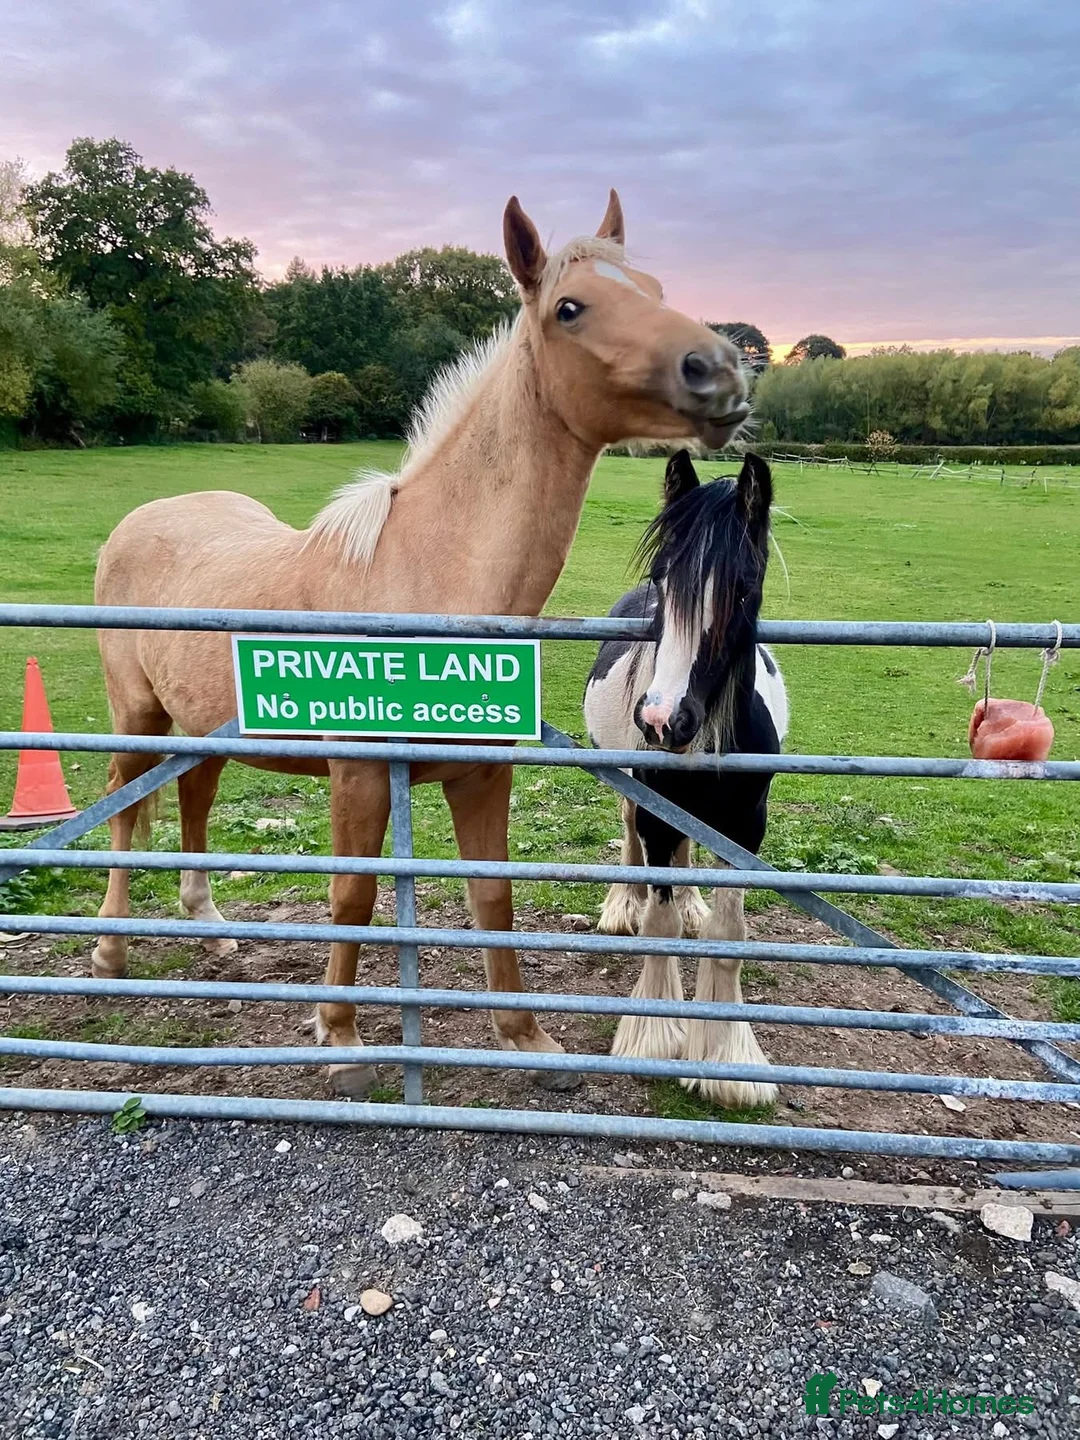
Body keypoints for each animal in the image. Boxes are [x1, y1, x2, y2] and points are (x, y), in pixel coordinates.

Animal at [90, 190, 753, 1099]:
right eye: (569, 308)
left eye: (652, 287)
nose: (720, 370)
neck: (430, 577)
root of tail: (140, 520)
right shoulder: (362, 779)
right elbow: (351, 898)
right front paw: (340, 1040)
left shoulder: (481, 779)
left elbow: (492, 901)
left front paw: (530, 1042)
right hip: (136, 718)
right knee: (125, 814)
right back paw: (109, 948)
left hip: (202, 730)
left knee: (192, 800)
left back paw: (212, 927)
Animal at [583, 449, 787, 1109]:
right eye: (662, 579)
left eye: (742, 588)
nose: (661, 718)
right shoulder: (653, 813)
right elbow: (660, 922)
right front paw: (653, 1035)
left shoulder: (746, 830)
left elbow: (728, 932)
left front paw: (726, 1059)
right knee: (632, 840)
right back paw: (623, 903)